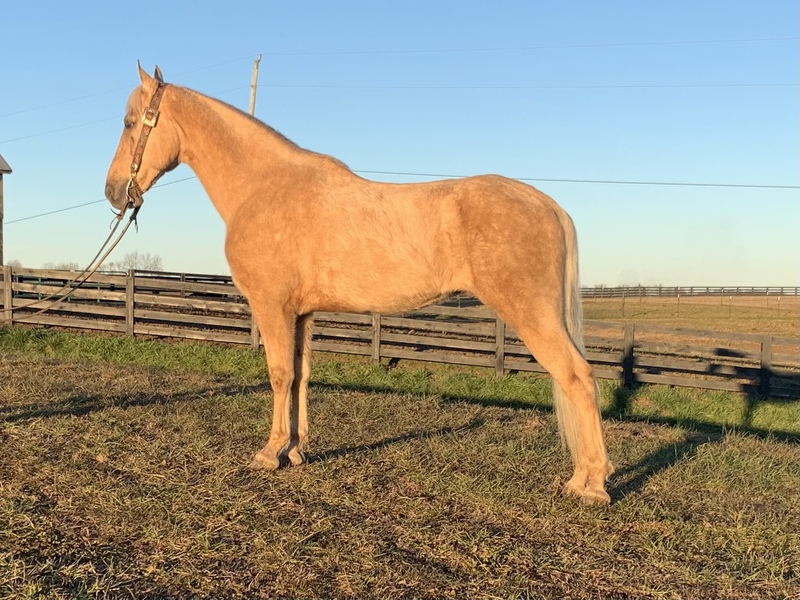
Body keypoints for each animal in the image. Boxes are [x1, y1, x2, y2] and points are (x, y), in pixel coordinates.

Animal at [105, 64, 614, 505]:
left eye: (130, 123)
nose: (113, 192)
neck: (264, 187)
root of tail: (548, 205)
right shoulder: (302, 313)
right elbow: (301, 374)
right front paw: (295, 450)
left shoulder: (272, 306)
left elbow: (279, 374)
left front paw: (269, 453)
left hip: (532, 314)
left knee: (577, 377)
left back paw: (590, 484)